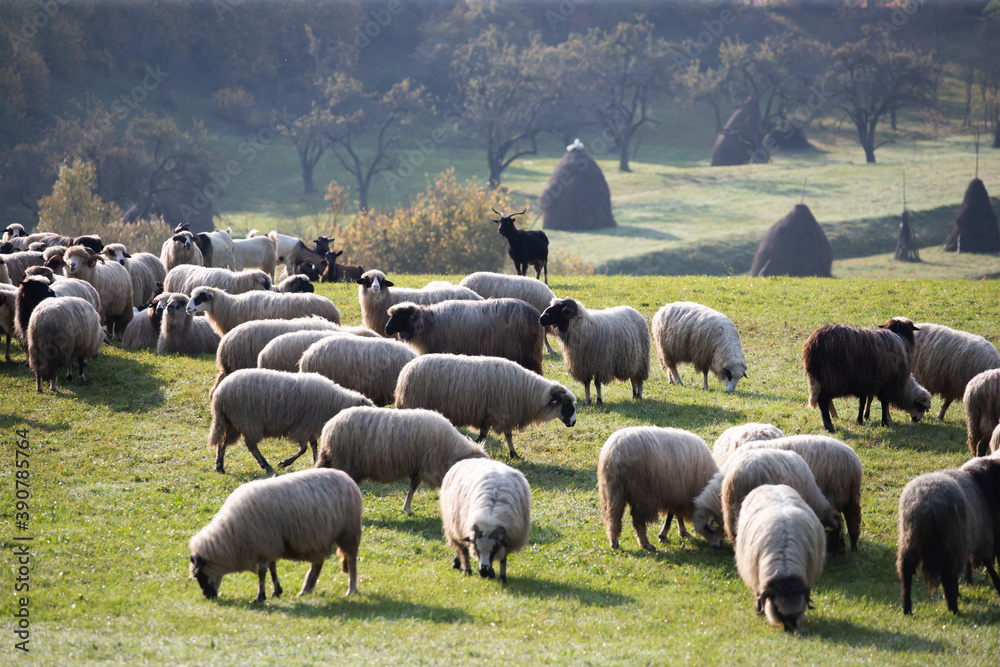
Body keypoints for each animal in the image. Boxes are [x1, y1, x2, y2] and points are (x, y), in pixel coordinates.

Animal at [188, 467, 362, 601]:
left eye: (199, 575)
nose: (208, 596)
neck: (232, 535)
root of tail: (346, 477)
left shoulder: (266, 543)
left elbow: (262, 571)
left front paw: (261, 596)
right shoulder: (271, 545)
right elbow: (272, 569)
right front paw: (276, 591)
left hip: (348, 532)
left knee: (351, 561)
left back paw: (351, 589)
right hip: (320, 538)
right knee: (317, 564)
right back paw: (305, 590)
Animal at [209, 368, 373, 474]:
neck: (335, 402)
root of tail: (220, 393)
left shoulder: (310, 426)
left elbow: (313, 446)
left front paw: (316, 463)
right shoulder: (304, 425)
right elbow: (304, 448)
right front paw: (284, 463)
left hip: (233, 422)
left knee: (223, 443)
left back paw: (219, 466)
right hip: (247, 420)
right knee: (250, 445)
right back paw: (266, 466)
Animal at [316, 406, 489, 514]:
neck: (451, 449)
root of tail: (329, 427)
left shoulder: (419, 468)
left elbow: (412, 488)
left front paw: (407, 508)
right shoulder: (429, 467)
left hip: (331, 459)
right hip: (345, 463)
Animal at [395, 353, 576, 459]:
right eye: (567, 405)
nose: (573, 423)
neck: (528, 392)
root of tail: (405, 370)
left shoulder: (495, 414)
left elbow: (500, 435)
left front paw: (513, 454)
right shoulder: (500, 412)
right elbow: (492, 436)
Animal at [735, 484, 826, 633]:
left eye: (798, 611)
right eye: (778, 610)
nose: (791, 630)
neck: (785, 569)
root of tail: (772, 485)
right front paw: (759, 611)